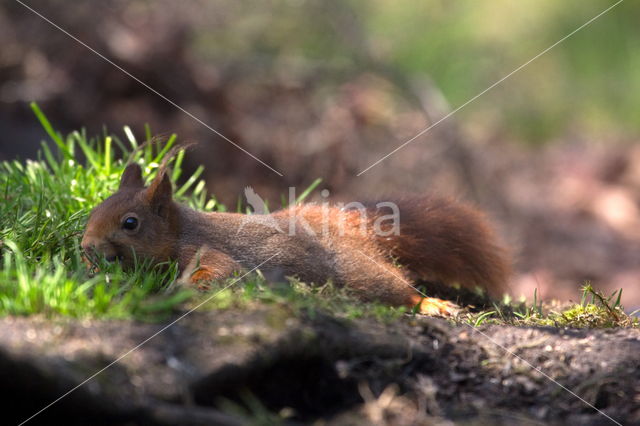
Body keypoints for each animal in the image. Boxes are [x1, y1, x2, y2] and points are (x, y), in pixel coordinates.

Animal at [81, 163, 510, 316]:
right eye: (94, 209)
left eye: (131, 223)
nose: (85, 246)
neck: (180, 229)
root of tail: (357, 228)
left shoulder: (205, 249)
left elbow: (218, 271)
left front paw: (179, 289)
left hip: (354, 273)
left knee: (395, 288)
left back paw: (430, 304)